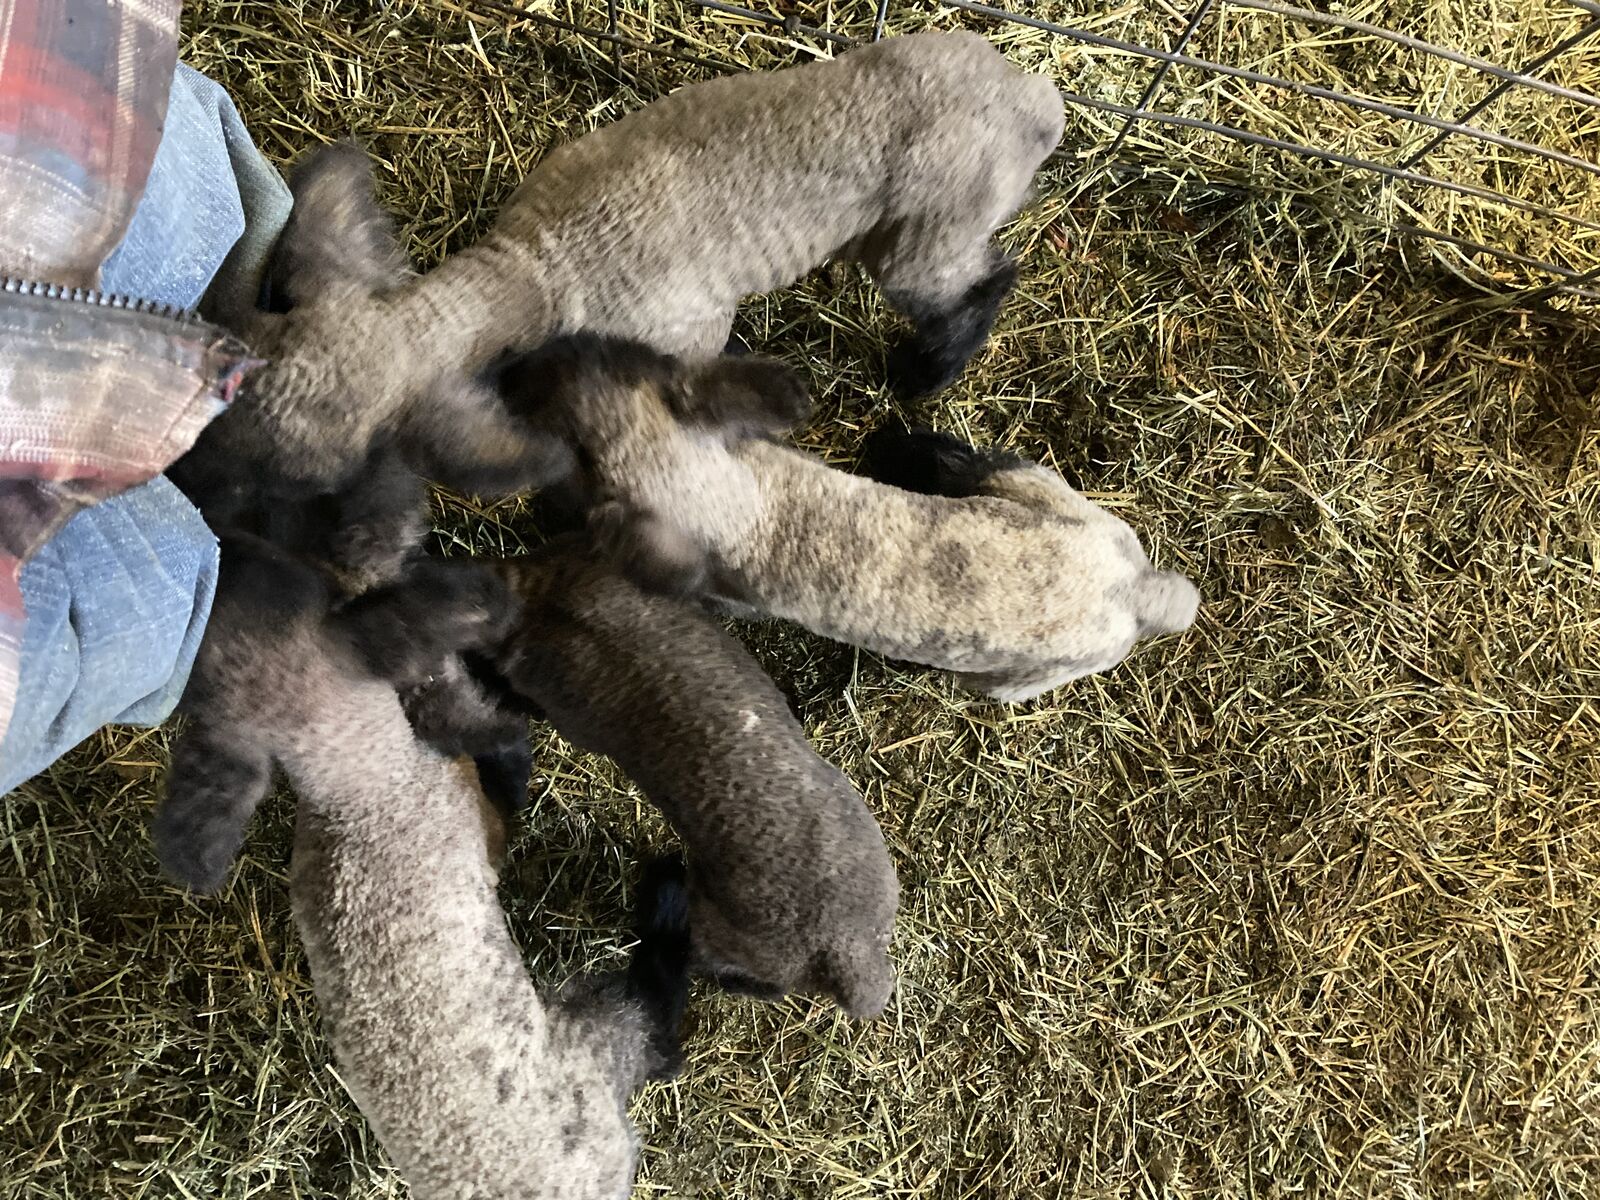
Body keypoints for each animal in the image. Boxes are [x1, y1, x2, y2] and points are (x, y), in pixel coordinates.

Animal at [154, 534, 690, 1200]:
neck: (364, 788)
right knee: (652, 1025)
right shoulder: (470, 818)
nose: (217, 551)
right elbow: (497, 813)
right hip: (593, 1053)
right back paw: (671, 897)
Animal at [177, 29, 1064, 507]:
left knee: (985, 276)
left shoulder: (686, 330)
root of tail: (1036, 97)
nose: (189, 485)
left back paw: (925, 370)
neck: (533, 268)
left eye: (305, 482)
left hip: (931, 232)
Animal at [495, 334, 1201, 703]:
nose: (517, 368)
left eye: (574, 466)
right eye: (618, 357)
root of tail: (1137, 591)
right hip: (1049, 494)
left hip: (1032, 675)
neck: (755, 506)